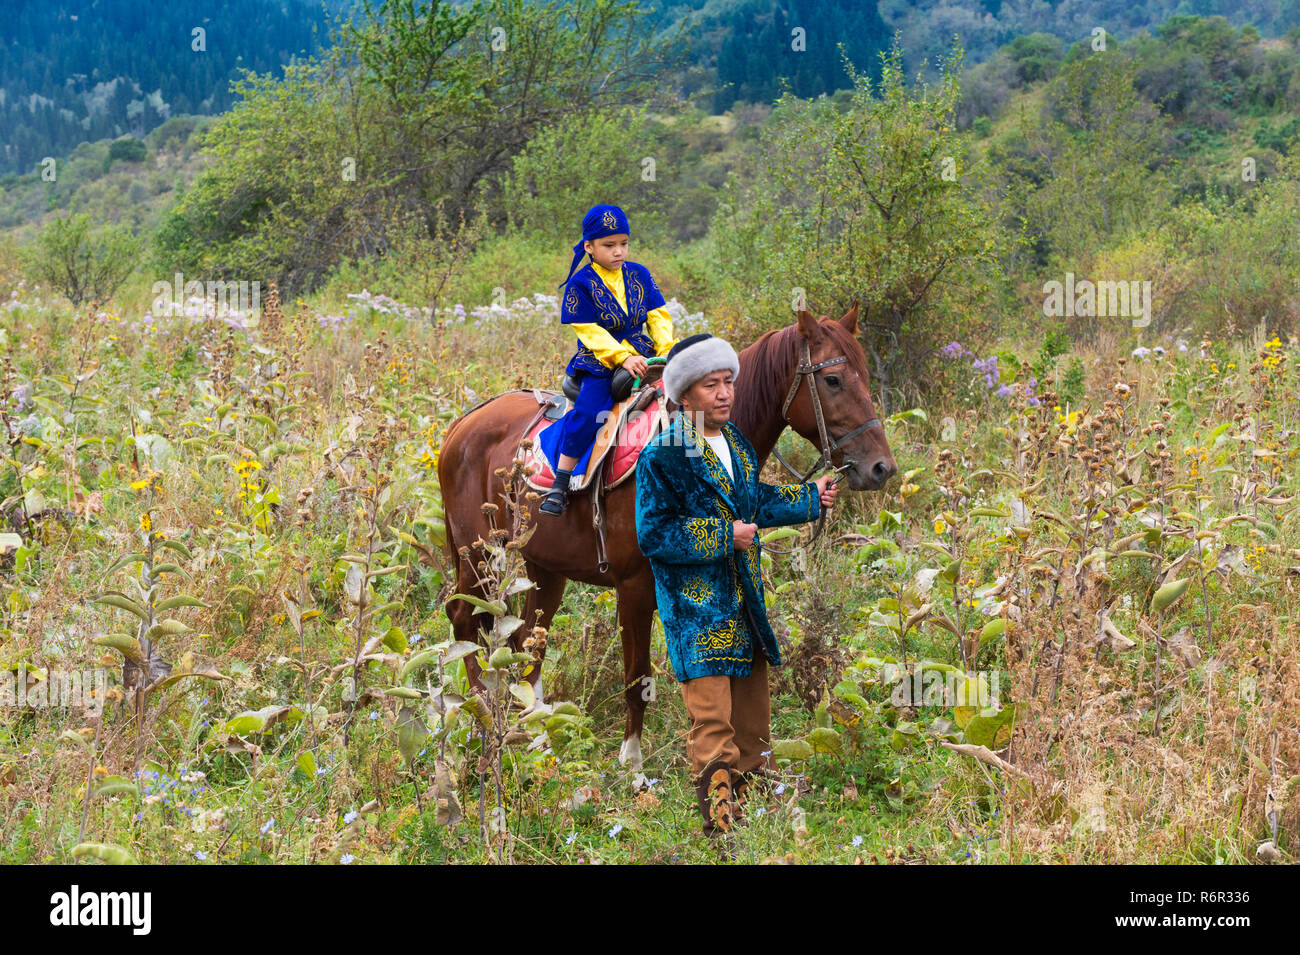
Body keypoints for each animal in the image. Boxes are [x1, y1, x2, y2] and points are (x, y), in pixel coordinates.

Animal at [436, 303, 896, 770]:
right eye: (833, 379)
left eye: (866, 376)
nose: (882, 468)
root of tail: (462, 426)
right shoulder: (634, 587)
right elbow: (638, 678)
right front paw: (632, 764)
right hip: (481, 558)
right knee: (464, 621)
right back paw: (481, 717)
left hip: (544, 567)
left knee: (529, 640)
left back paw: (537, 733)